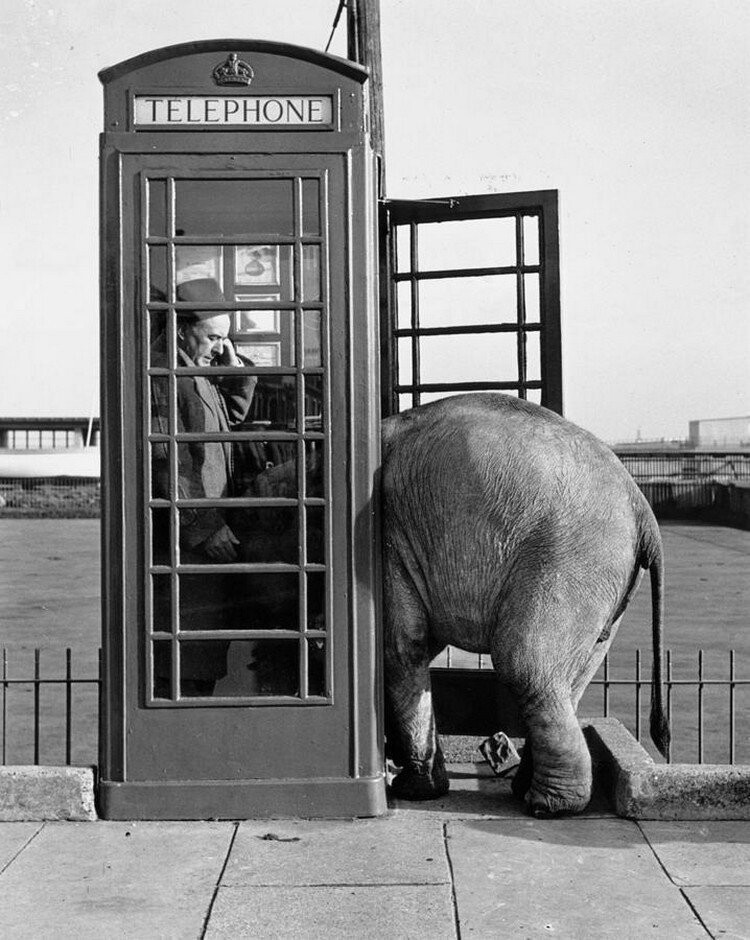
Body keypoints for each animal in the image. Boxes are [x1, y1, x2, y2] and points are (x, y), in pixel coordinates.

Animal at [382, 390, 668, 816]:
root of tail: (642, 506)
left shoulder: (384, 543)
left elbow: (403, 648)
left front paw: (412, 791)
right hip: (609, 581)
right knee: (569, 678)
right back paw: (529, 790)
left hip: (571, 559)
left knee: (524, 662)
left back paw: (547, 806)